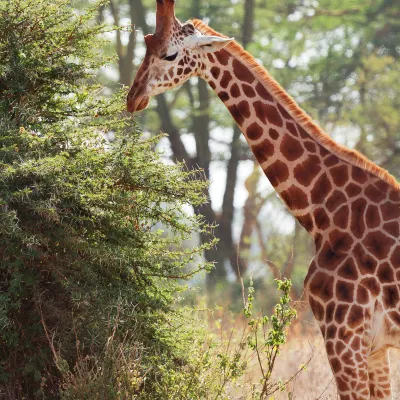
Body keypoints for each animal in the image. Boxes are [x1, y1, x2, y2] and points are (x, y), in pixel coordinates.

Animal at [127, 1, 400, 398]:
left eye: (170, 54)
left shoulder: (345, 334)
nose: (132, 97)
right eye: (146, 41)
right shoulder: (375, 346)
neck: (324, 212)